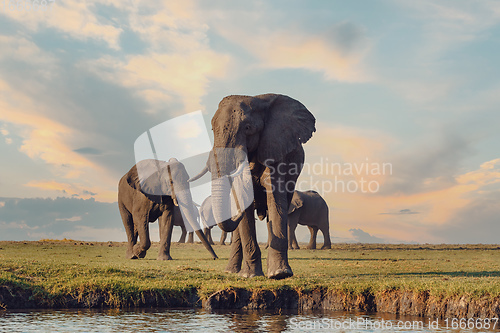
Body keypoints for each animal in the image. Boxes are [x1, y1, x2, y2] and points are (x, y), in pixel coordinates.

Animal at [189, 92, 314, 278]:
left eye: (247, 128)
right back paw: (232, 271)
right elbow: (244, 202)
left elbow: (276, 200)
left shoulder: (275, 149)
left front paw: (279, 274)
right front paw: (250, 275)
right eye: (212, 129)